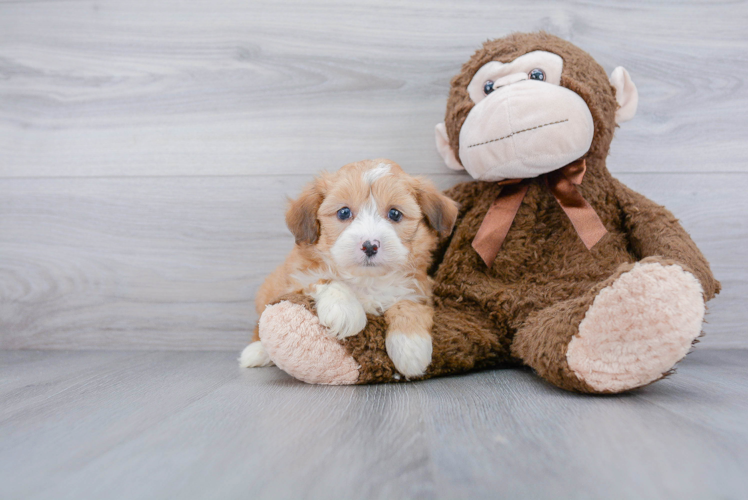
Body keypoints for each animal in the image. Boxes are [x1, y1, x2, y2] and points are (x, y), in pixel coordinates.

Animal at [240, 158, 458, 376]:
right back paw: (256, 352)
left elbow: (408, 304)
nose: (370, 245)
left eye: (395, 214)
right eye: (344, 212)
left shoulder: (419, 289)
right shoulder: (297, 280)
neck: (366, 279)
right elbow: (325, 279)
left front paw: (411, 347)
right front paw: (344, 310)